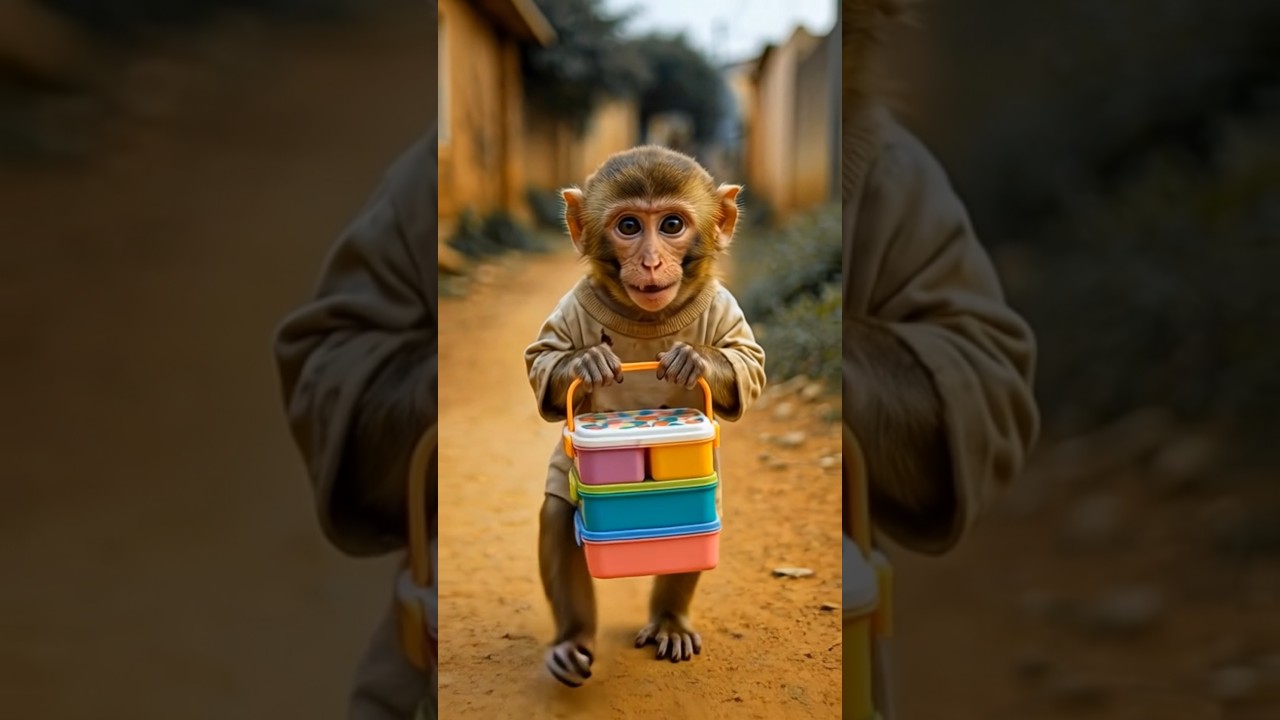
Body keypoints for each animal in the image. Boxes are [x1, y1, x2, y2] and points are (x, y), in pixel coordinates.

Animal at [523, 145, 767, 688]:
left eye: (672, 224)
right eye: (629, 226)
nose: (651, 261)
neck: (647, 319)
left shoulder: (725, 306)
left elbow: (749, 366)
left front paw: (694, 360)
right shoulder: (571, 305)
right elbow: (541, 364)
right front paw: (587, 362)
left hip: (701, 508)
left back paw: (669, 622)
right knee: (560, 515)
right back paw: (573, 640)